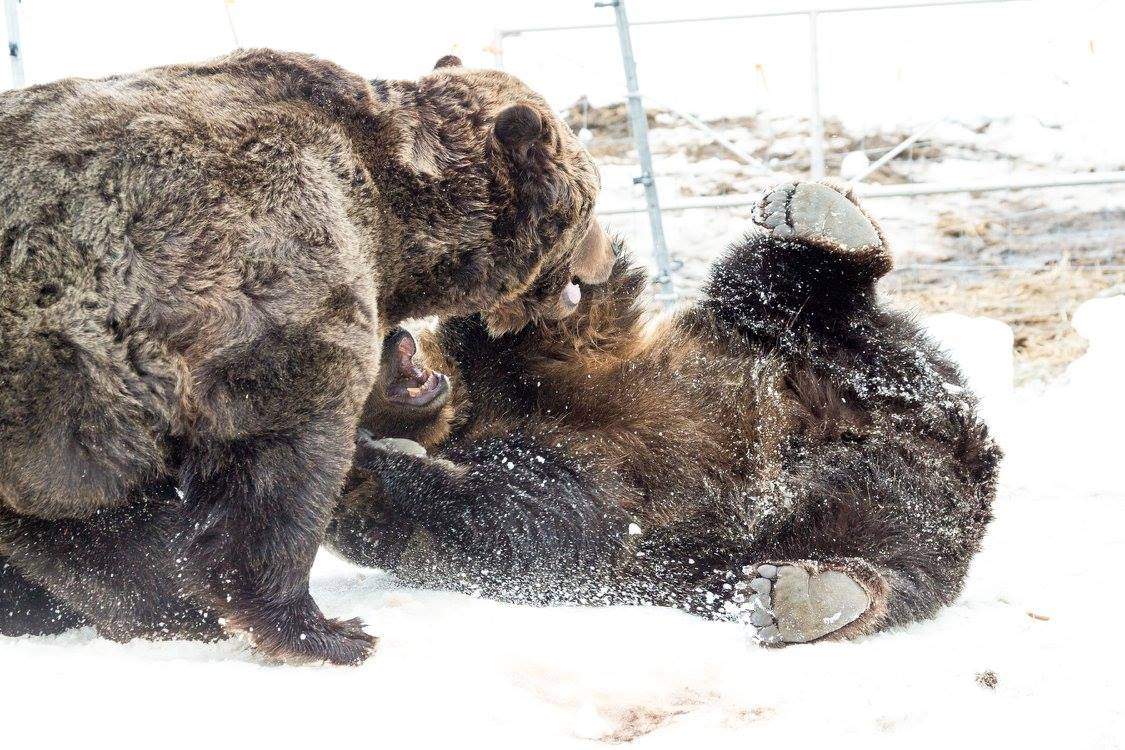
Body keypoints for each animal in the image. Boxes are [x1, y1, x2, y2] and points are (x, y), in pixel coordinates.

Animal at [0, 49, 612, 663]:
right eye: (594, 205)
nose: (606, 259)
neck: (392, 219)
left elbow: (81, 529)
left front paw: (173, 606)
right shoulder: (267, 286)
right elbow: (284, 466)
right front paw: (323, 629)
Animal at [326, 181, 1002, 645]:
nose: (396, 338)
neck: (465, 414)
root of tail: (961, 452)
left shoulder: (530, 366)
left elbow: (566, 317)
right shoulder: (430, 524)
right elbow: (534, 519)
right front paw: (394, 458)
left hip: (819, 347)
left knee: (771, 284)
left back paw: (820, 217)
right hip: (860, 524)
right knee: (893, 572)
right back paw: (811, 596)